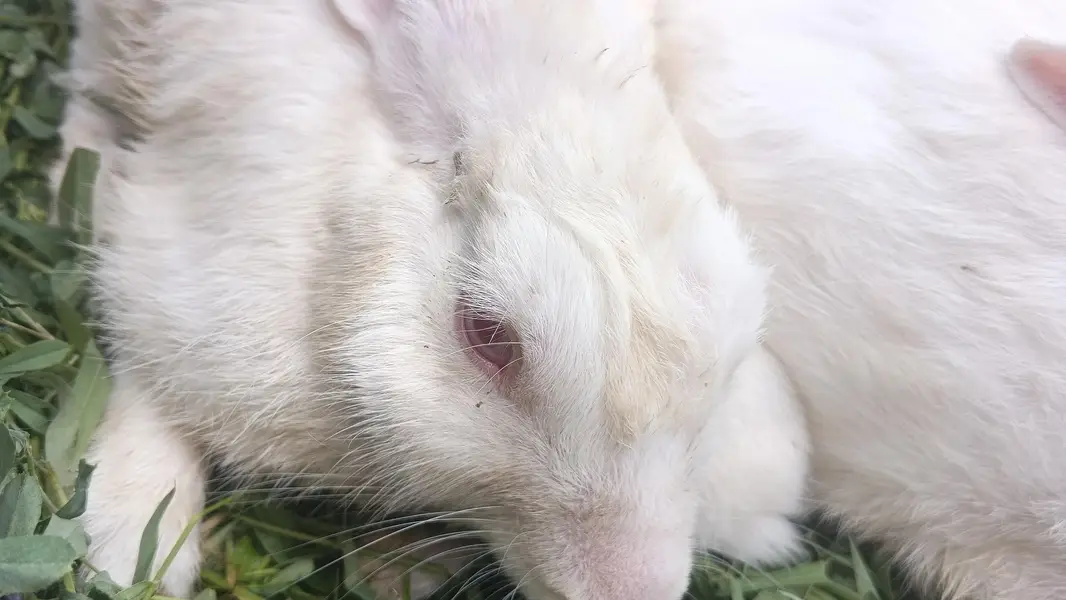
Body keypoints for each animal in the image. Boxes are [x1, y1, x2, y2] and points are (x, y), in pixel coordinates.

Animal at [50, 0, 811, 598]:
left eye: (730, 356)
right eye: (489, 336)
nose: (630, 588)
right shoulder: (170, 272)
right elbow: (146, 385)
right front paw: (126, 545)